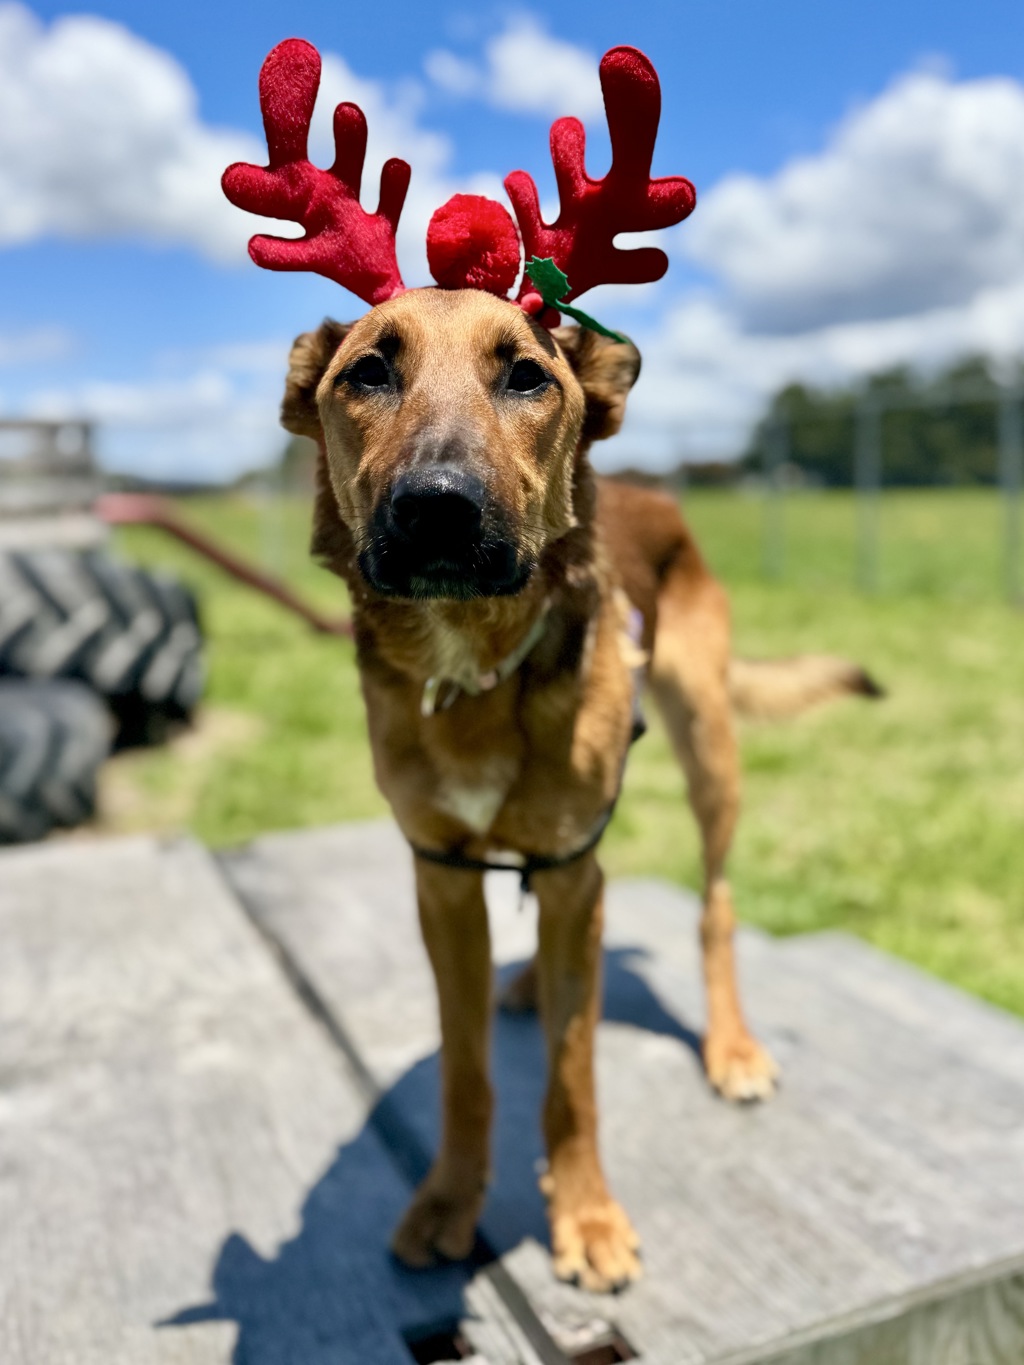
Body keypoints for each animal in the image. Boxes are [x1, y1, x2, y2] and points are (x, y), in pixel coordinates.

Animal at [279, 287, 880, 1291]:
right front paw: (449, 1199)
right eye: (368, 371)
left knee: (715, 905)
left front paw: (587, 1216)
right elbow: (466, 1069)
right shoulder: (443, 879)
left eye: (527, 375)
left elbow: (572, 1078)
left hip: (708, 748)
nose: (437, 508)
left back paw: (731, 1045)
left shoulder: (570, 868)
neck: (474, 667)